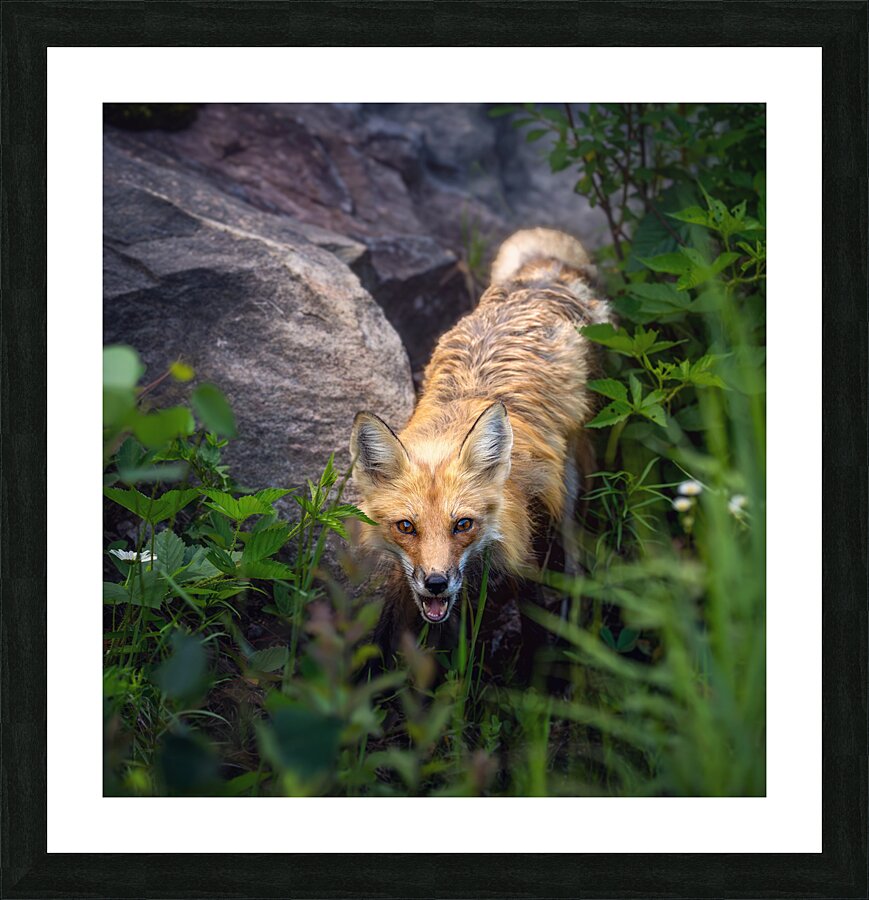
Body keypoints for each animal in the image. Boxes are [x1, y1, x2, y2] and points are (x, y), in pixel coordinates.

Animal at [349, 227, 613, 659]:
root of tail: (543, 278)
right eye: (406, 526)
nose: (435, 583)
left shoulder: (525, 535)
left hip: (570, 477)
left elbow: (533, 615)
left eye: (463, 524)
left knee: (574, 549)